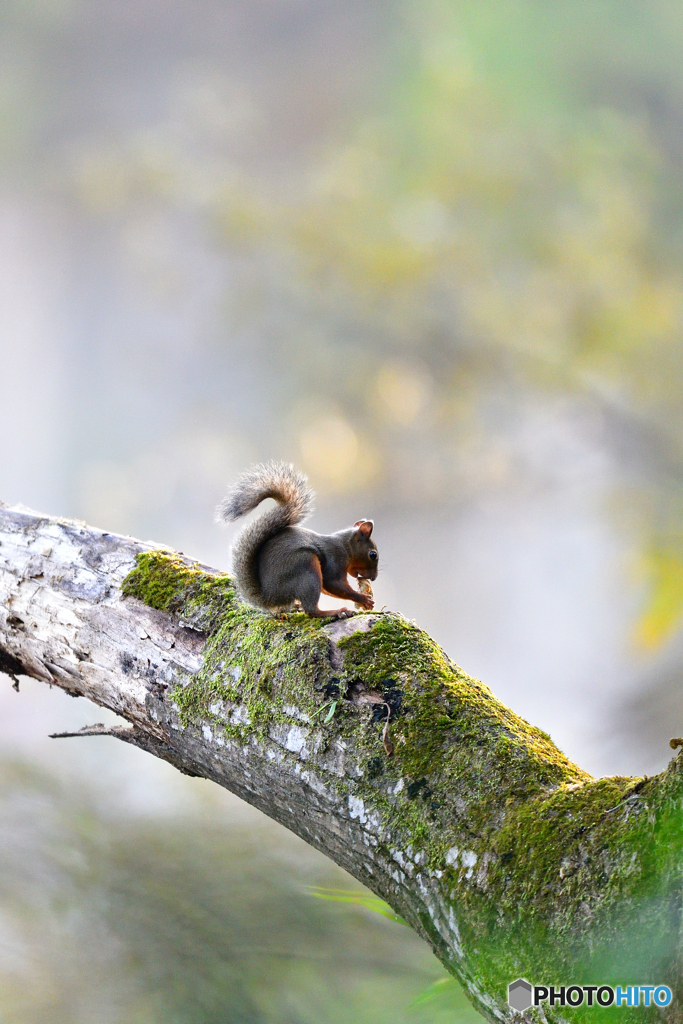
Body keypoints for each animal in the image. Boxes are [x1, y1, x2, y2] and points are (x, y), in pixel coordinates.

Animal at [218, 462, 378, 618]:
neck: (346, 546)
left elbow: (328, 588)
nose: (374, 578)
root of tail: (269, 597)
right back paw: (335, 612)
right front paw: (363, 599)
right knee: (311, 610)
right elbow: (333, 584)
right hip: (306, 568)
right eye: (373, 554)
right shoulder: (336, 559)